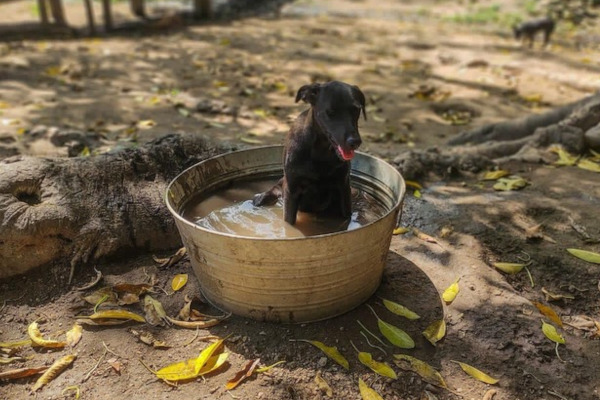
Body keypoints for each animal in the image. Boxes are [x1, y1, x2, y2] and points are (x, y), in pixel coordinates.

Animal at [252, 80, 366, 225]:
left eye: (356, 110)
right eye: (330, 112)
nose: (355, 141)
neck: (321, 151)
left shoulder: (343, 187)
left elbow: (346, 217)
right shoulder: (291, 190)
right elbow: (288, 223)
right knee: (275, 188)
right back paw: (261, 197)